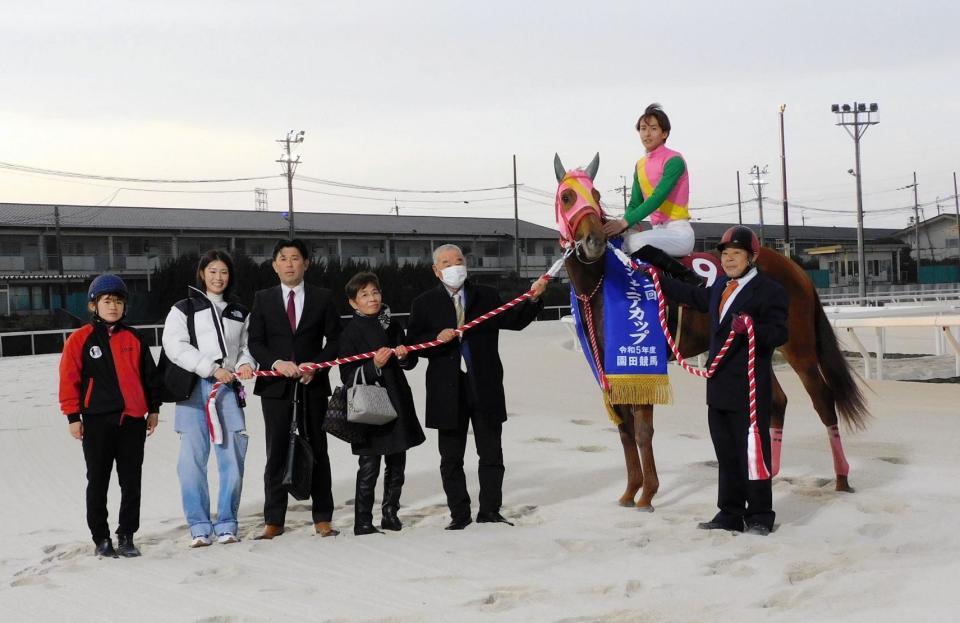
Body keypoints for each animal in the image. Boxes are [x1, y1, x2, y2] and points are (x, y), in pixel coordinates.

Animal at [556, 154, 872, 516]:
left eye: (594, 194)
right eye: (567, 197)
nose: (594, 240)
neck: (604, 282)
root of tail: (795, 268)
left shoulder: (644, 358)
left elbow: (643, 430)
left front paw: (647, 494)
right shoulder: (610, 365)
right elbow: (624, 428)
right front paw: (630, 491)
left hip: (799, 347)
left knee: (823, 400)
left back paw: (841, 477)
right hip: (758, 346)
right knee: (777, 400)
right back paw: (768, 471)